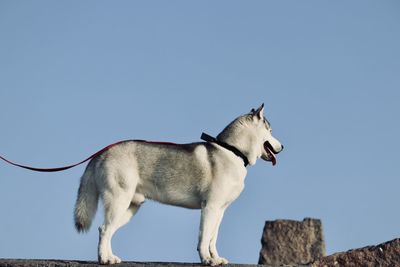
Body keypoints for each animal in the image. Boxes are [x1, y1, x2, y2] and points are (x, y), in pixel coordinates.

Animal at [73, 104, 282, 266]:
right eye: (271, 131)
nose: (282, 147)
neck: (233, 151)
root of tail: (102, 153)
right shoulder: (210, 207)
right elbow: (204, 237)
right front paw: (207, 259)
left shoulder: (220, 210)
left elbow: (212, 238)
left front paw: (215, 258)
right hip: (118, 201)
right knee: (104, 229)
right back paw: (104, 259)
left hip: (130, 207)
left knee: (107, 231)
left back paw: (110, 257)